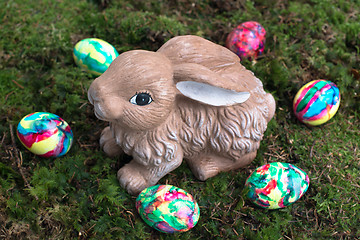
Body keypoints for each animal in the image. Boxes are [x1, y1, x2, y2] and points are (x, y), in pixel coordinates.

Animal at [88, 35, 276, 195]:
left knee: (247, 156)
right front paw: (106, 141)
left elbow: (156, 168)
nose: (95, 93)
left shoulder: (164, 150)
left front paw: (130, 179)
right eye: (117, 62)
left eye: (142, 99)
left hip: (230, 137)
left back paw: (205, 166)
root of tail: (266, 107)